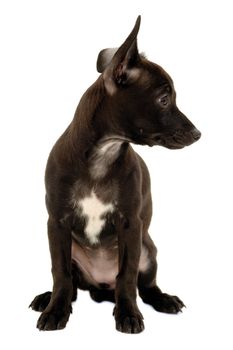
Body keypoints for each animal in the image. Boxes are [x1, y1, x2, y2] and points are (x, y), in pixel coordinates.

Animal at [29, 16, 200, 334]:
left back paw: (164, 300)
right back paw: (47, 298)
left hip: (148, 250)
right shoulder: (57, 223)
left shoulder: (130, 224)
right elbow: (60, 274)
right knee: (72, 286)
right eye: (164, 99)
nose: (198, 134)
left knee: (144, 286)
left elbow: (127, 275)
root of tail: (100, 287)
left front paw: (129, 314)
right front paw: (55, 311)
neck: (103, 154)